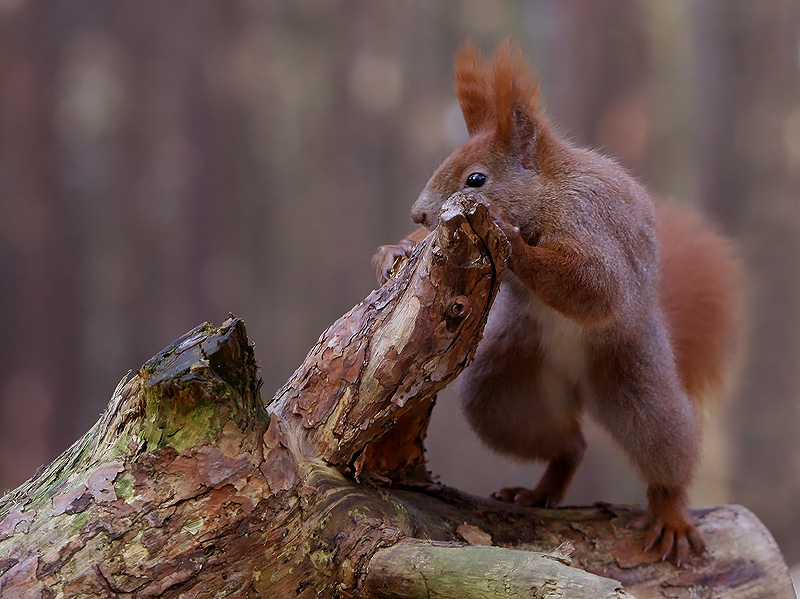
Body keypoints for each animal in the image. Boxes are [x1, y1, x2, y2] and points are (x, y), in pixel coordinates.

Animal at [376, 42, 744, 568]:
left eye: (476, 178)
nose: (418, 214)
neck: (547, 195)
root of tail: (577, 385)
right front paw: (395, 251)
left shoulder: (591, 219)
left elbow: (597, 284)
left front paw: (512, 240)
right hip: (507, 388)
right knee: (569, 443)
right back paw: (539, 489)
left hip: (634, 373)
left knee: (665, 444)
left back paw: (671, 513)